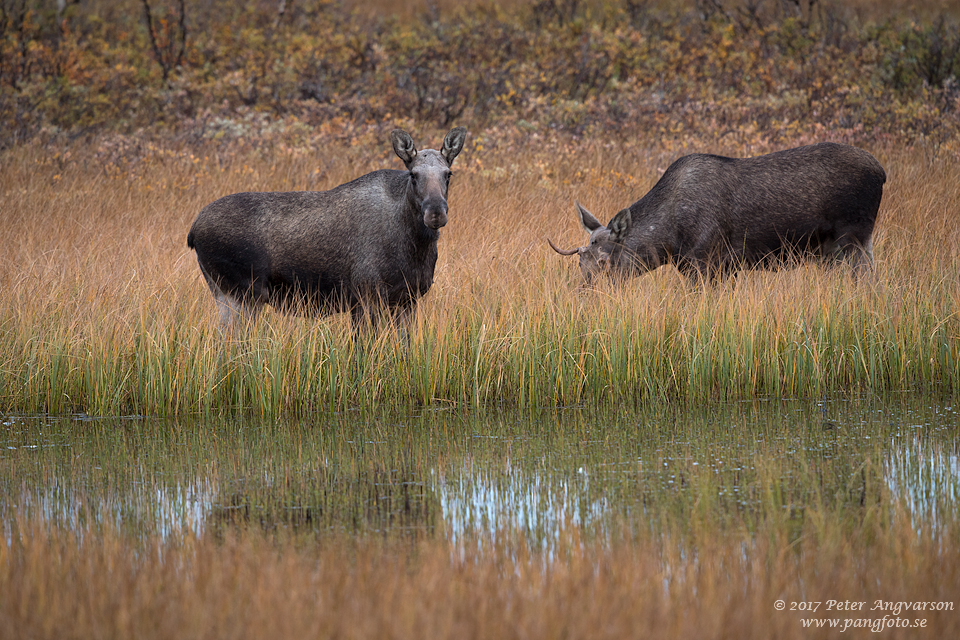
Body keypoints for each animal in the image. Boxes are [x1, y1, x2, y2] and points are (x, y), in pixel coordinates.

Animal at [187, 128, 464, 332]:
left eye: (448, 174)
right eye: (413, 174)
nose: (436, 211)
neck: (414, 246)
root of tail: (192, 233)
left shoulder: (407, 299)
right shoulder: (366, 297)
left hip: (226, 294)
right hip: (243, 294)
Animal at [552, 145, 888, 284]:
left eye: (604, 261)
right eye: (580, 262)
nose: (585, 294)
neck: (668, 241)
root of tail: (882, 172)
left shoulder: (707, 264)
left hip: (854, 239)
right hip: (840, 250)